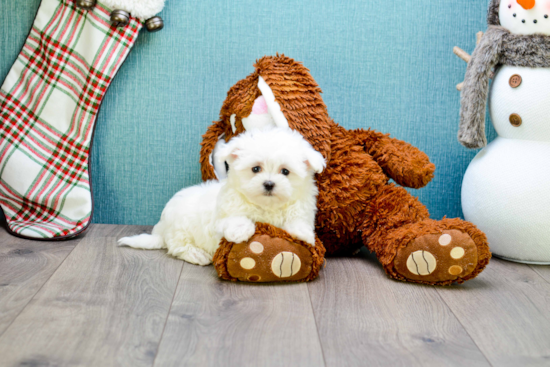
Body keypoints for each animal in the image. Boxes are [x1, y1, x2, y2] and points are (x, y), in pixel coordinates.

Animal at [118, 129, 326, 268]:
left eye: (285, 172)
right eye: (255, 169)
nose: (269, 184)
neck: (267, 206)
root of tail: (161, 229)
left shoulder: (302, 206)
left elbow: (298, 219)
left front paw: (303, 233)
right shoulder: (222, 216)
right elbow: (235, 219)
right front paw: (241, 230)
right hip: (181, 229)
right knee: (178, 246)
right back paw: (197, 254)